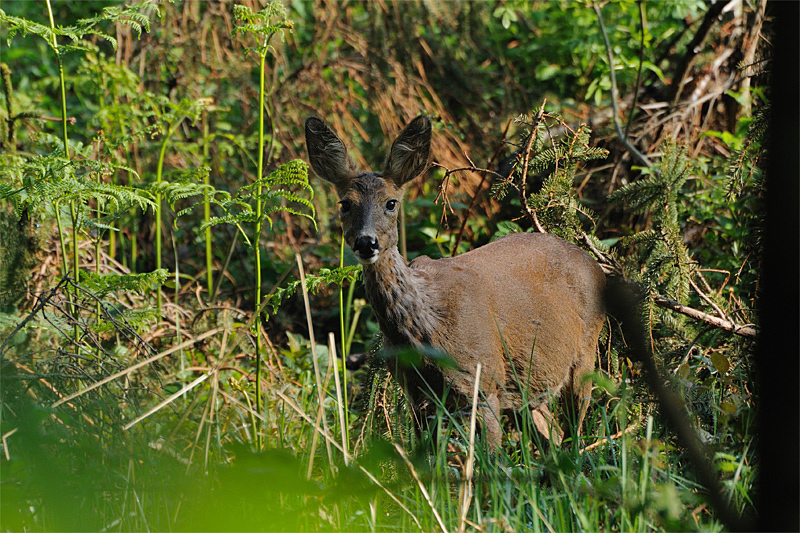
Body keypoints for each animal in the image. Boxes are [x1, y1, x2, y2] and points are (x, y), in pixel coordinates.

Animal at [306, 113, 608, 448]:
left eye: (391, 203)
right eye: (345, 203)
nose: (366, 243)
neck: (427, 328)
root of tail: (592, 262)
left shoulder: (483, 381)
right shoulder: (417, 393)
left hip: (585, 354)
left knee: (575, 431)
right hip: (529, 386)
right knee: (551, 434)